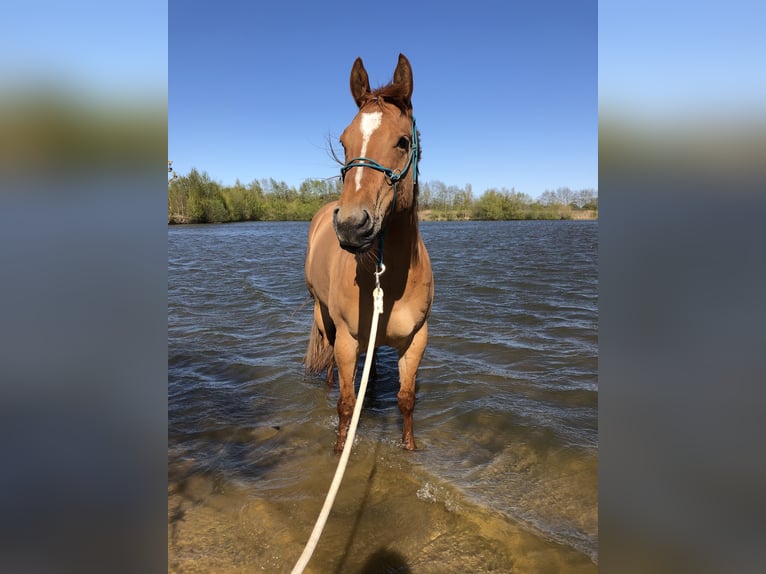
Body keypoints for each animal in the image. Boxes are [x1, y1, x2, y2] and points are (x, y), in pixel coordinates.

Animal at [304, 54, 433, 453]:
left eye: (403, 142)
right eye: (344, 141)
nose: (351, 225)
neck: (388, 283)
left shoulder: (416, 340)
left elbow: (406, 400)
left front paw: (409, 448)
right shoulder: (347, 341)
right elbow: (346, 403)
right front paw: (339, 447)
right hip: (324, 316)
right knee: (333, 369)